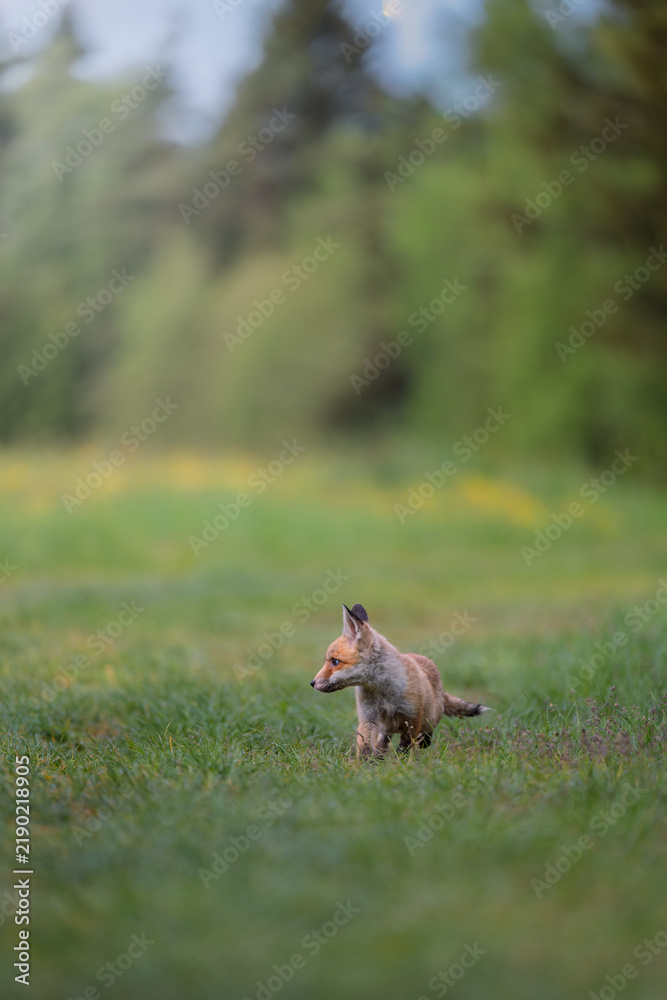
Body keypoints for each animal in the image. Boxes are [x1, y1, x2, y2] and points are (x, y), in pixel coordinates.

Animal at [311, 603, 490, 760]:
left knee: (425, 738)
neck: (383, 692)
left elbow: (404, 749)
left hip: (430, 719)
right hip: (387, 728)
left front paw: (400, 765)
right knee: (383, 742)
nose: (312, 683)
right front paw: (365, 769)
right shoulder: (368, 718)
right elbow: (366, 748)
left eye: (335, 661)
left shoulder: (413, 718)